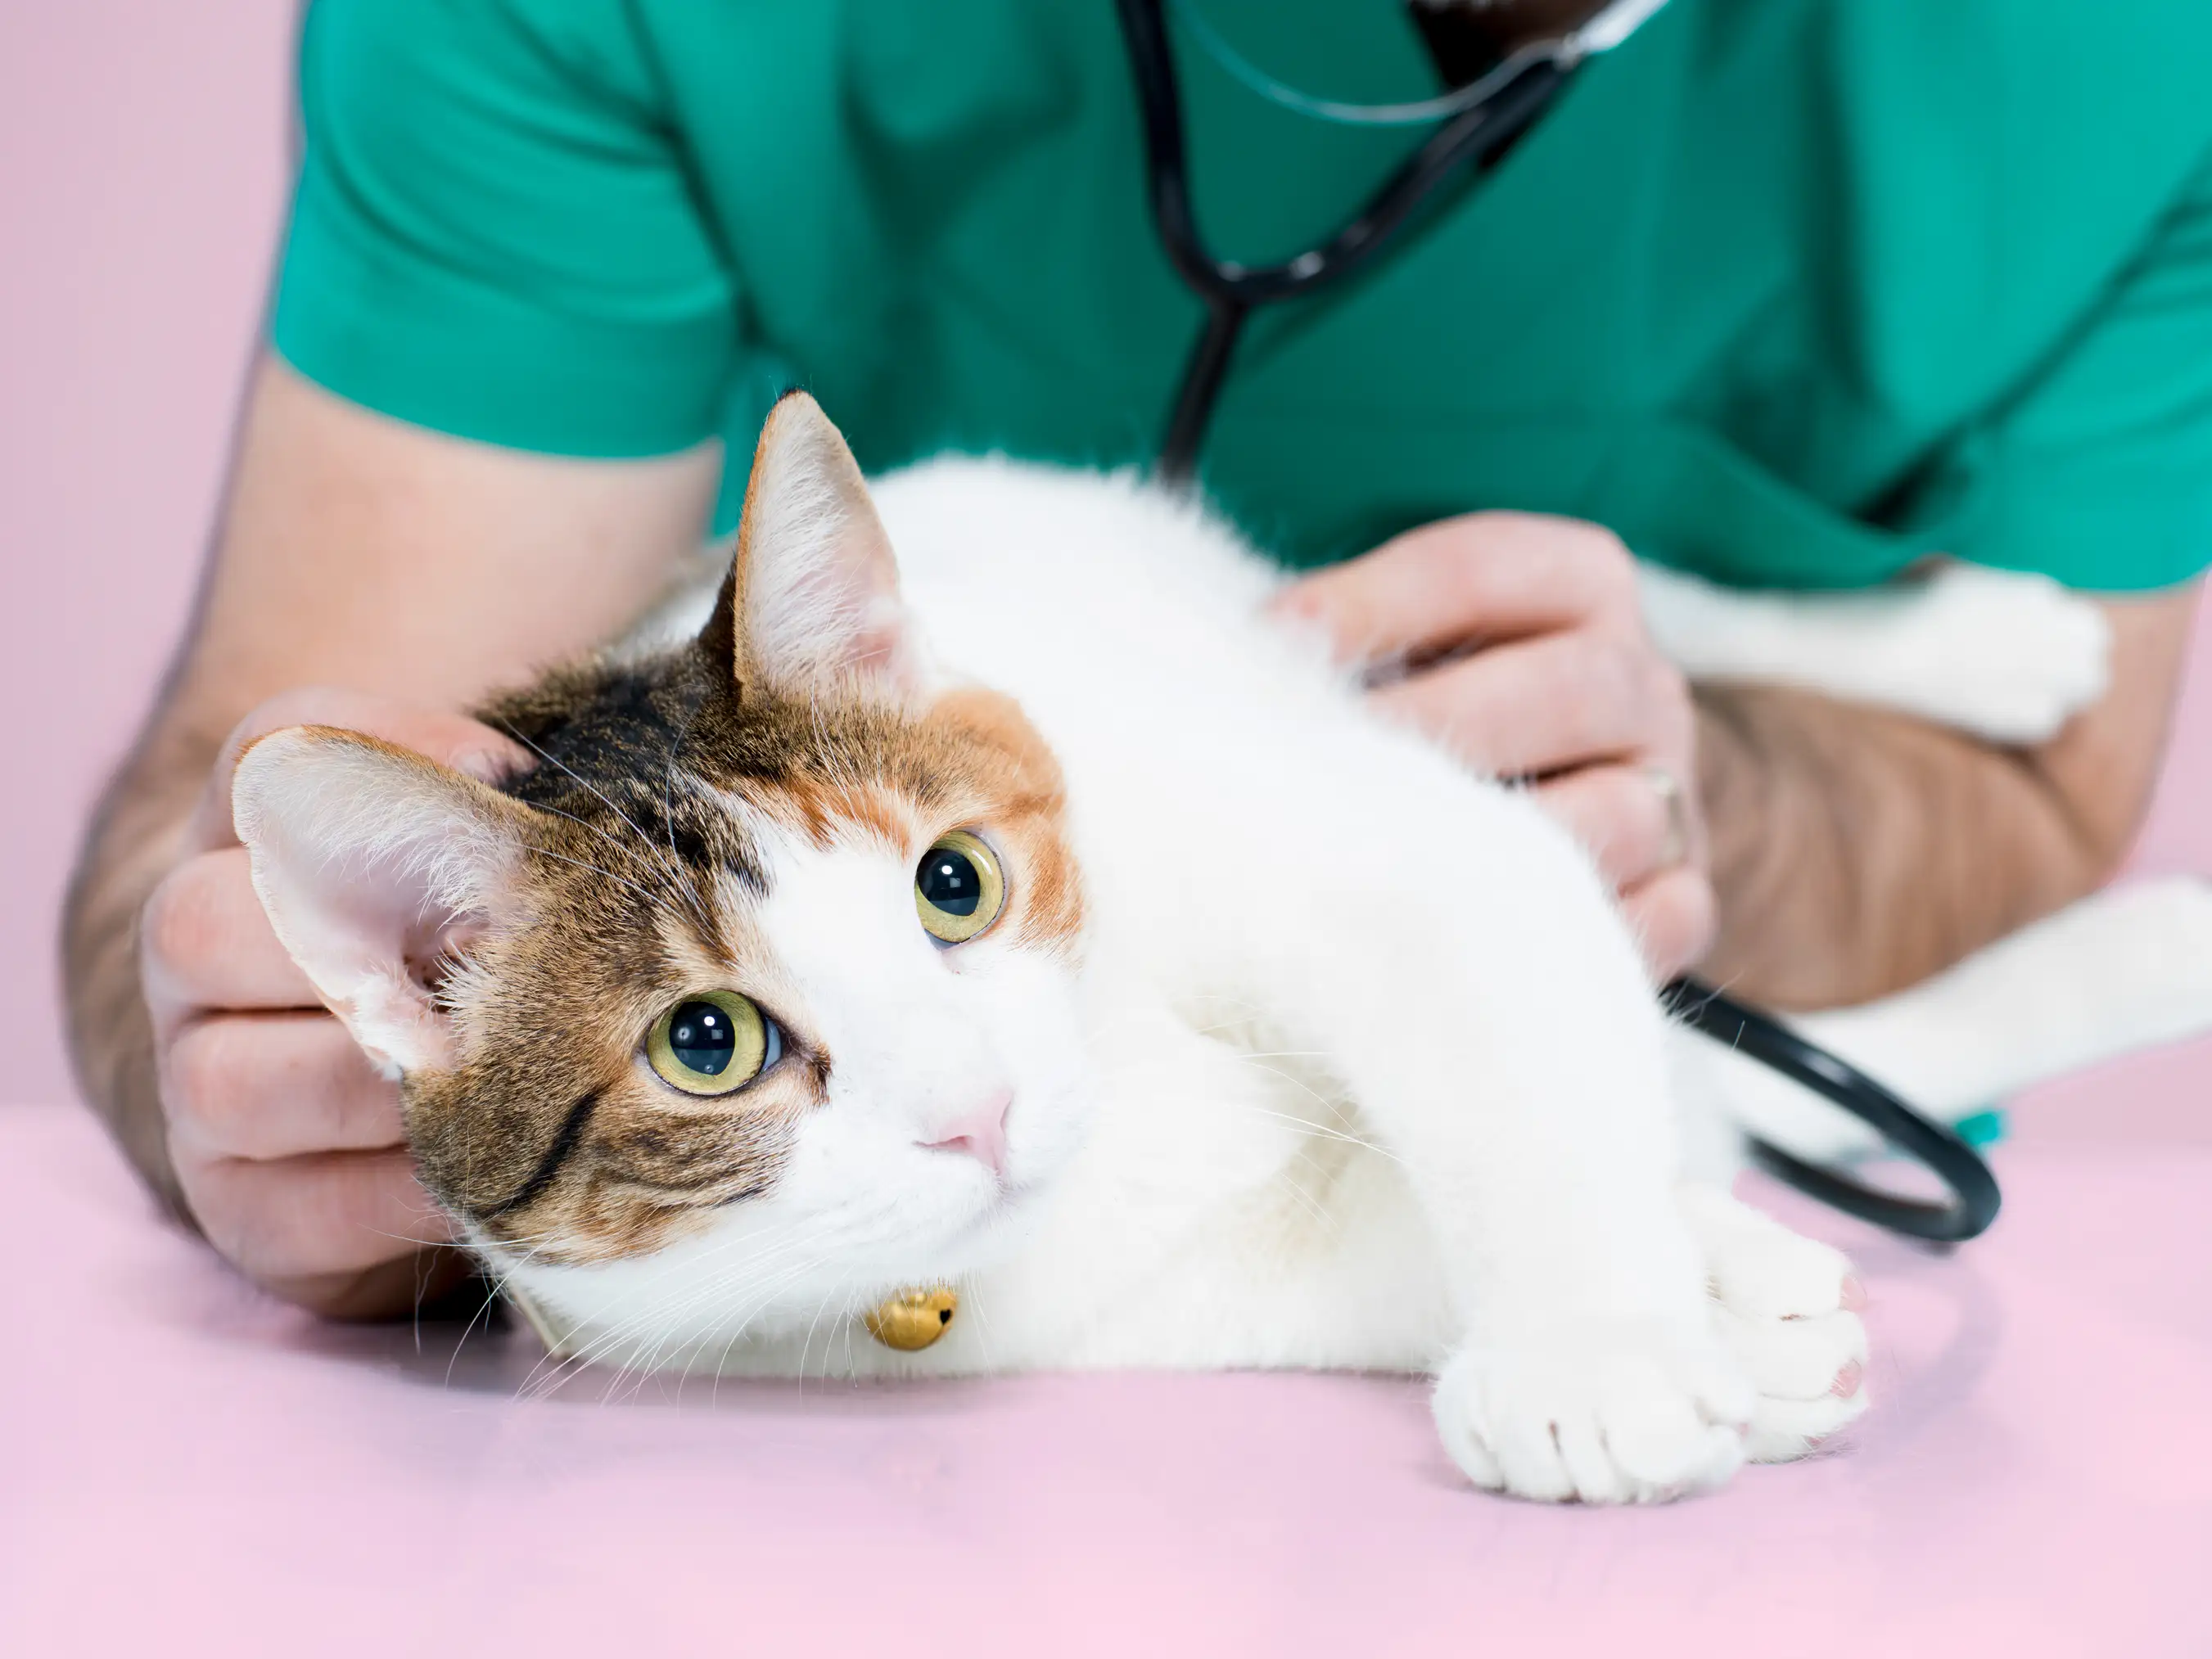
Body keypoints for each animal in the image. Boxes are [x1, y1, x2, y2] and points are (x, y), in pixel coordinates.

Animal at [233, 389, 2203, 1503]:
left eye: (954, 883)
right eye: (705, 1044)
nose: (980, 1108)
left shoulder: (1381, 840)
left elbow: (1500, 1009)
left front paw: (1596, 1343)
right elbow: (1404, 1234)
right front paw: (1727, 1300)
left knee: (1637, 595)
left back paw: (1982, 641)